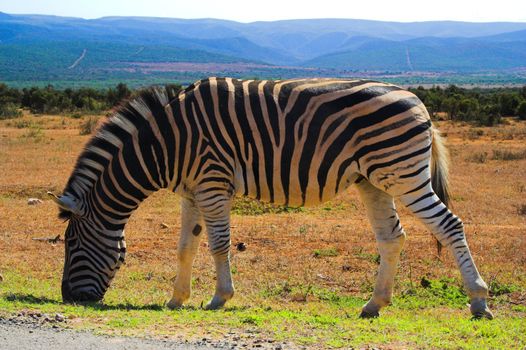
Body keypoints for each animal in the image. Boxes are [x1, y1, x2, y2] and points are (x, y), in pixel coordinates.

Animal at [48, 78, 496, 318]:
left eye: (70, 244)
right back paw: (374, 304)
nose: (70, 299)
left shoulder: (213, 183)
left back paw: (478, 301)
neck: (165, 145)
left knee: (450, 225)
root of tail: (419, 102)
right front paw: (176, 298)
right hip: (374, 180)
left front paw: (218, 298)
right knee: (392, 238)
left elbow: (218, 245)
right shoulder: (192, 191)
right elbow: (185, 248)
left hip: (402, 172)